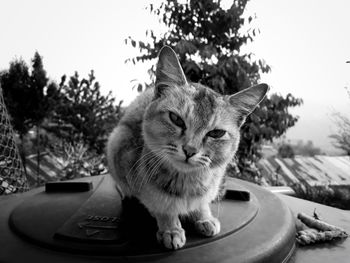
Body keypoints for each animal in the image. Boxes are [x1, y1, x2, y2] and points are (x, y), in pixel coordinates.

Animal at [106, 46, 268, 251]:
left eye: (216, 133)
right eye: (176, 119)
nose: (190, 150)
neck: (187, 182)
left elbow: (202, 204)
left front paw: (205, 217)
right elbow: (162, 207)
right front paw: (171, 229)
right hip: (116, 140)